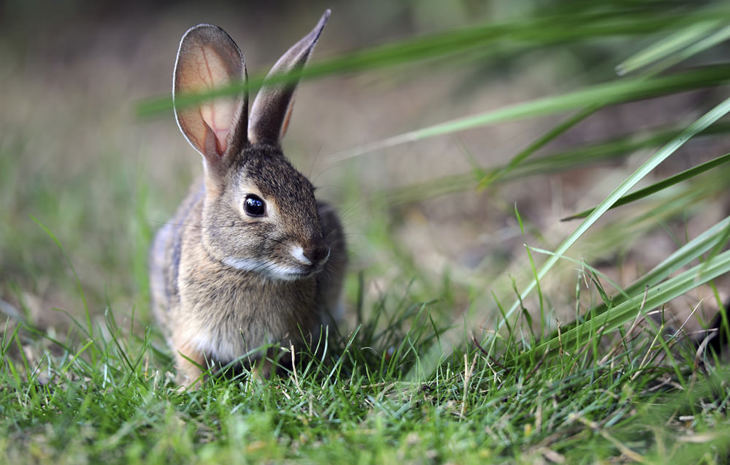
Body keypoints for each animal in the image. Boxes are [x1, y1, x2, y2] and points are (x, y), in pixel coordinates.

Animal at [149, 10, 346, 386]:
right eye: (254, 205)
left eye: (309, 191)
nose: (316, 252)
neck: (245, 270)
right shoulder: (188, 332)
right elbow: (191, 362)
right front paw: (193, 389)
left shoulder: (280, 338)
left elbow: (266, 362)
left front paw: (259, 386)